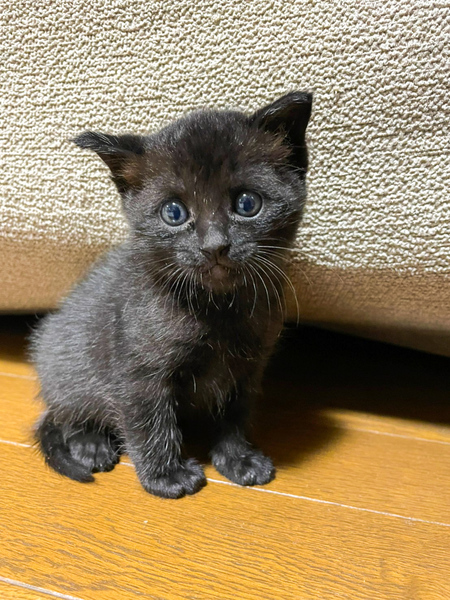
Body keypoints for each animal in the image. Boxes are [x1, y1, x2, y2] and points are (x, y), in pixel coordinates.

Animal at [30, 91, 312, 499]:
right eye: (174, 212)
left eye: (247, 204)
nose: (215, 246)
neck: (218, 310)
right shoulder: (139, 374)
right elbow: (151, 424)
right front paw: (166, 477)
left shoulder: (248, 368)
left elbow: (235, 416)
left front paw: (238, 459)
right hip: (64, 361)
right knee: (66, 412)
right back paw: (91, 444)